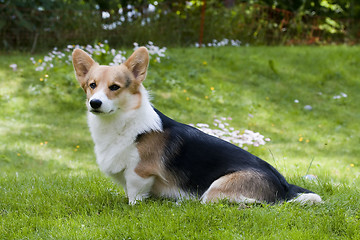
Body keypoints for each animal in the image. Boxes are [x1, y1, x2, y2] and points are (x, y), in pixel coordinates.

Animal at [71, 47, 322, 205]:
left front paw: (132, 207)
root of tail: (284, 185)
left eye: (114, 87)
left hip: (214, 191)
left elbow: (135, 195)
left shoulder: (139, 173)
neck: (121, 123)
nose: (95, 103)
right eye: (92, 85)